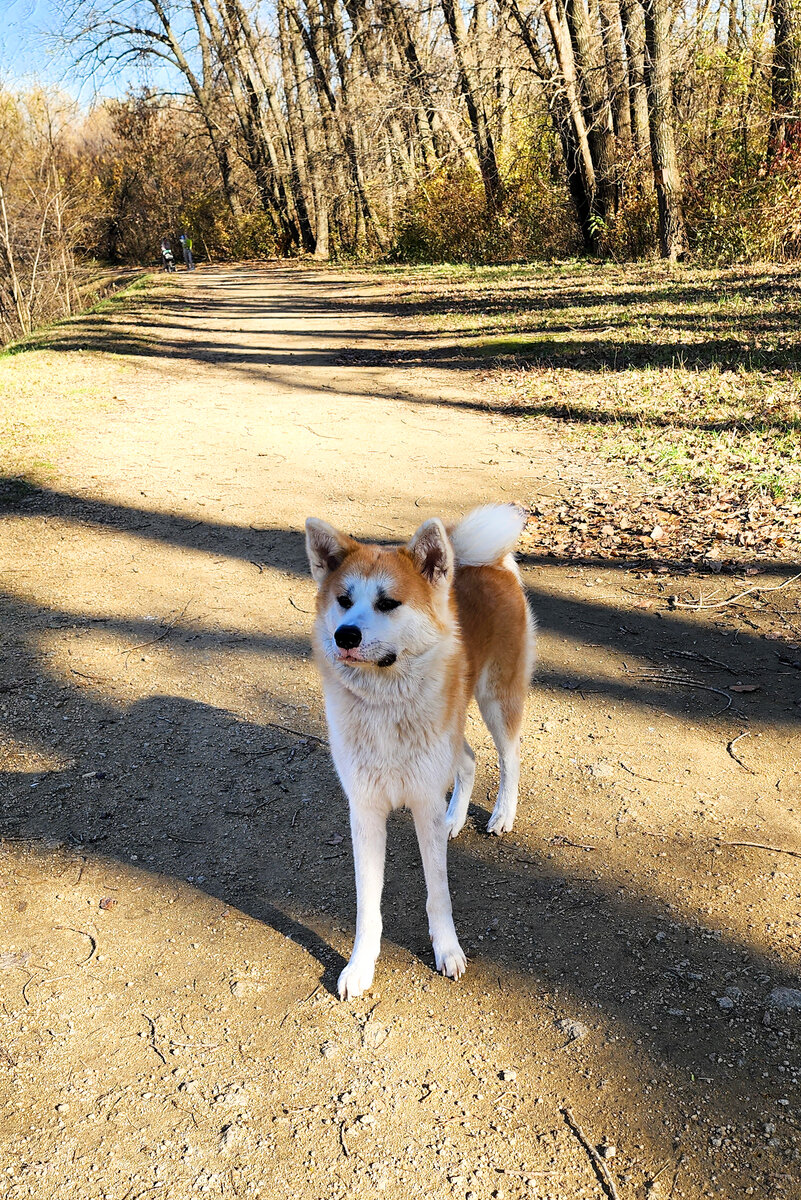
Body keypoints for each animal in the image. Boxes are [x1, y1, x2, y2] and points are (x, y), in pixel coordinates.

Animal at [303, 506, 534, 1003]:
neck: (384, 705)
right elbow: (367, 904)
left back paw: (502, 814)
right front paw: (360, 966)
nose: (344, 635)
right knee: (468, 759)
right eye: (343, 600)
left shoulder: (424, 801)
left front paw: (447, 949)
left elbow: (438, 894)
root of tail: (490, 564)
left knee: (509, 759)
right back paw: (455, 818)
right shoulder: (366, 811)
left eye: (388, 603)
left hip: (497, 699)